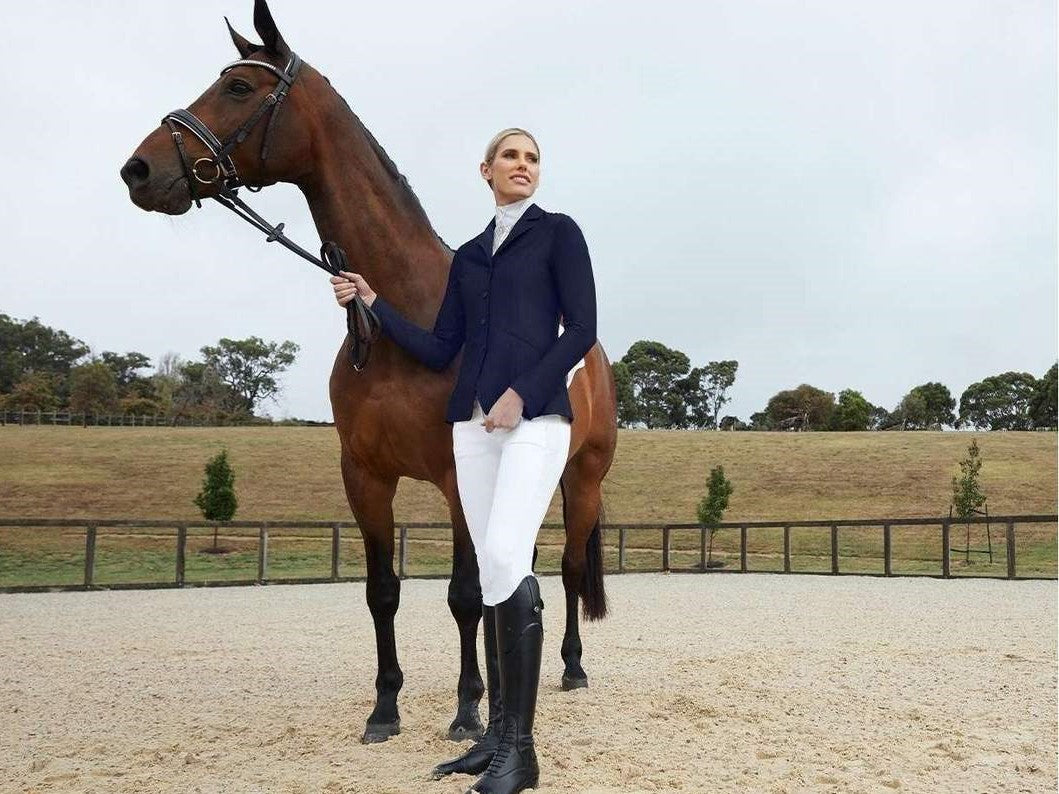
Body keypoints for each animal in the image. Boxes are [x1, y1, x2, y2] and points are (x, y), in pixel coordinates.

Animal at [120, 0, 618, 745]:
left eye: (238, 86)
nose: (140, 171)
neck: (402, 319)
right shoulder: (364, 478)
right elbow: (383, 592)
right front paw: (386, 709)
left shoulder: (454, 474)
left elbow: (463, 594)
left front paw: (467, 710)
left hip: (580, 478)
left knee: (564, 568)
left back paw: (569, 669)